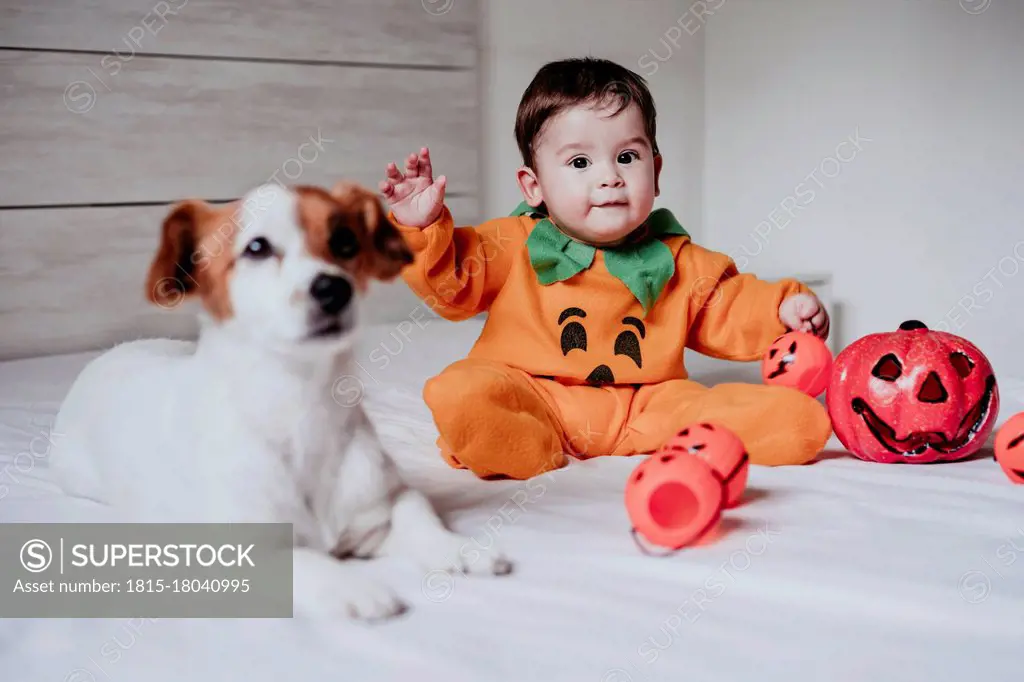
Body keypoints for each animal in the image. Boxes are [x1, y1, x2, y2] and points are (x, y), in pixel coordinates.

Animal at [48, 180, 512, 614]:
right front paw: (351, 587)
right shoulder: (235, 552)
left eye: (345, 241)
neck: (302, 407)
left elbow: (419, 519)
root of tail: (115, 352)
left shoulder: (385, 506)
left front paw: (457, 548)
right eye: (257, 248)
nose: (333, 288)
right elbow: (302, 560)